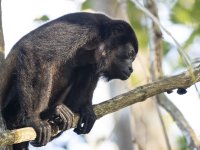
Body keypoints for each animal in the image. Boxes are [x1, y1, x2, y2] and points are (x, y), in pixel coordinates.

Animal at [0, 12, 138, 149]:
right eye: (130, 54)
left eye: (133, 58)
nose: (131, 69)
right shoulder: (86, 27)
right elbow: (34, 50)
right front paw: (34, 119)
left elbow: (90, 71)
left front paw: (86, 109)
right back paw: (50, 113)